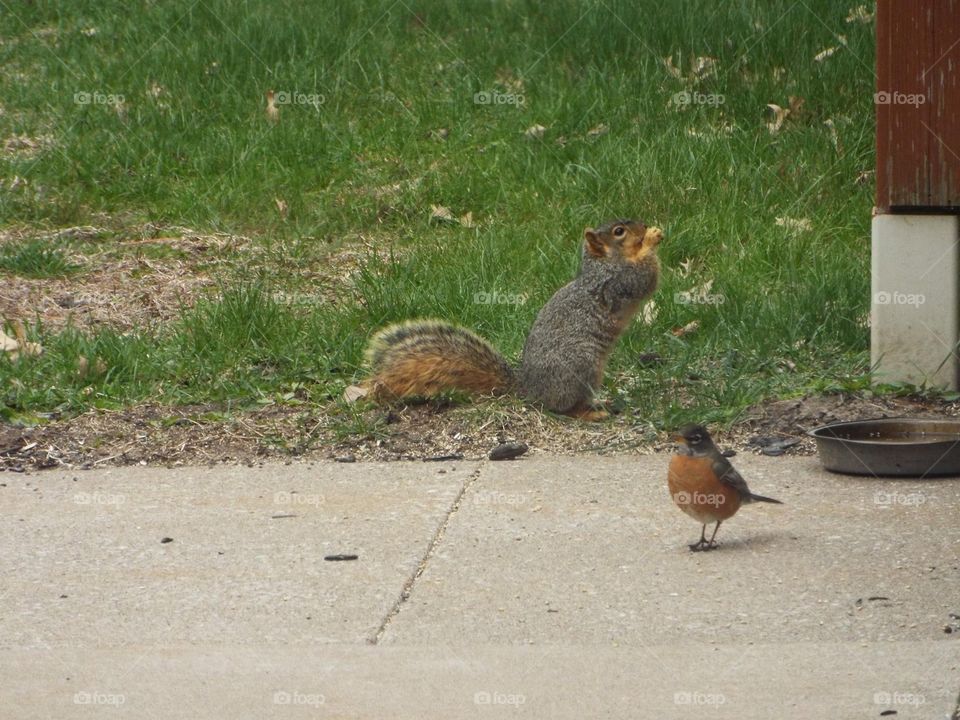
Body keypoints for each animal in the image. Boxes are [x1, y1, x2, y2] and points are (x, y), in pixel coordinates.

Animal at [363, 218, 662, 420]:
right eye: (619, 231)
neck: (602, 266)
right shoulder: (617, 284)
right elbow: (644, 278)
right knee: (563, 408)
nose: (644, 225)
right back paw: (590, 413)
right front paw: (651, 241)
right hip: (581, 367)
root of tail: (530, 391)